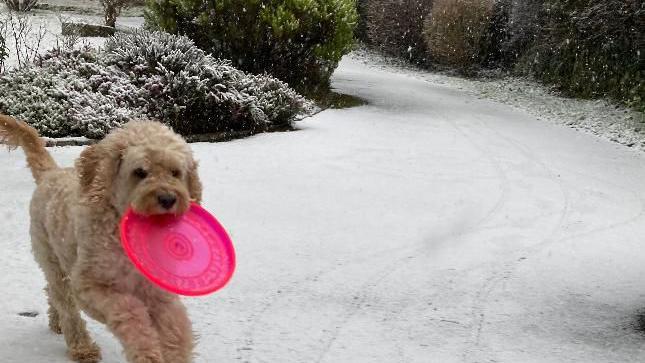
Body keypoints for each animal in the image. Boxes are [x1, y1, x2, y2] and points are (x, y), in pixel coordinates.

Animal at [0, 116, 201, 363]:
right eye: (140, 171)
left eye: (175, 172)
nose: (168, 199)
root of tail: (51, 173)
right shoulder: (90, 286)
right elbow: (130, 313)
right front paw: (145, 351)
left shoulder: (158, 292)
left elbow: (175, 329)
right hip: (53, 262)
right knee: (66, 305)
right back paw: (82, 347)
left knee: (52, 294)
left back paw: (56, 322)